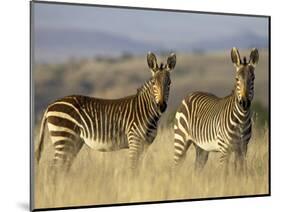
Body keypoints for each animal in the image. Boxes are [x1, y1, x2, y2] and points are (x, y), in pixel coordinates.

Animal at [34, 51, 175, 172]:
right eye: (153, 83)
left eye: (169, 83)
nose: (161, 106)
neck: (145, 111)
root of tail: (50, 106)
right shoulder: (134, 141)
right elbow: (133, 168)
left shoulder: (145, 145)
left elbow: (138, 169)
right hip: (63, 138)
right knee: (54, 169)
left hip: (73, 142)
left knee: (62, 168)